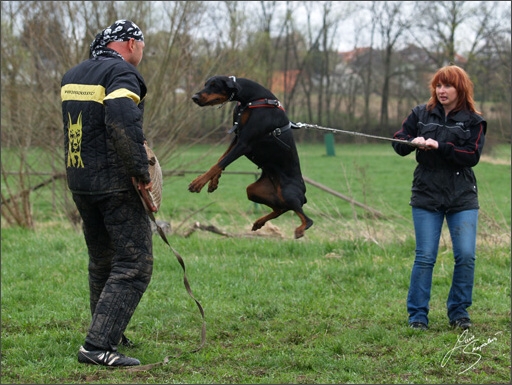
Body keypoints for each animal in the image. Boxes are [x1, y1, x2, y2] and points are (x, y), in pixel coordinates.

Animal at [191, 74, 314, 237]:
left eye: (214, 85)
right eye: (206, 84)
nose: (194, 97)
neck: (251, 99)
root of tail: (303, 193)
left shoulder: (244, 143)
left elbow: (220, 163)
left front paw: (198, 183)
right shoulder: (237, 136)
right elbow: (221, 159)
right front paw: (213, 182)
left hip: (287, 192)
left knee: (307, 219)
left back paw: (299, 230)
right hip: (254, 190)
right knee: (281, 208)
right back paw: (259, 223)